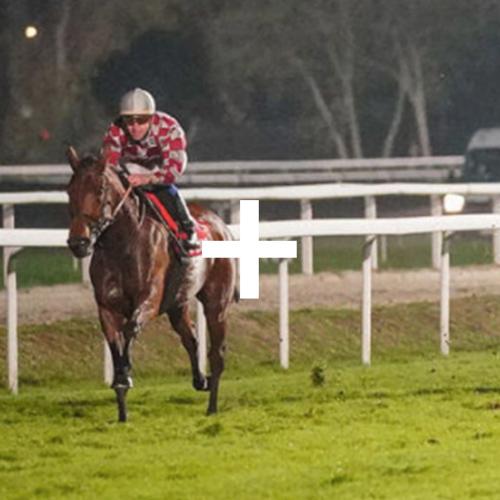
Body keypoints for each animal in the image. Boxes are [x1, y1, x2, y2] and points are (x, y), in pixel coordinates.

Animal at [65, 147, 237, 422]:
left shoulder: (150, 299)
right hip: (178, 303)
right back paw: (200, 380)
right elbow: (114, 342)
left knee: (217, 353)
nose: (78, 242)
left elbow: (130, 330)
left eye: (100, 190)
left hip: (217, 303)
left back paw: (212, 406)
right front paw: (121, 401)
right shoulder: (107, 307)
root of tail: (220, 224)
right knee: (190, 338)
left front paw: (125, 376)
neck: (122, 244)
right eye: (69, 190)